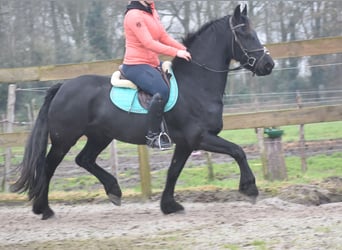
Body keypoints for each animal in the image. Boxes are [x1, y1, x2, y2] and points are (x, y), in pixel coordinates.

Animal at [12, 5, 276, 219]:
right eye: (245, 34)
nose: (269, 64)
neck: (196, 83)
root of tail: (62, 86)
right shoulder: (200, 137)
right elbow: (238, 151)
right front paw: (250, 189)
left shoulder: (185, 144)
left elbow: (173, 172)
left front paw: (169, 206)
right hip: (64, 139)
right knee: (48, 167)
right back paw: (44, 209)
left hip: (100, 136)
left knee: (84, 159)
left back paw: (114, 191)